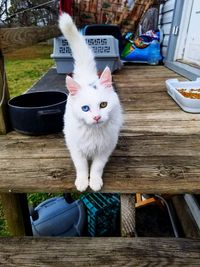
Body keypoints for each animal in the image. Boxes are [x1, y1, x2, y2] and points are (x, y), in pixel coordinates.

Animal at [58, 13, 122, 193]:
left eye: (103, 105)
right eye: (85, 108)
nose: (96, 117)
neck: (94, 133)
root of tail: (86, 76)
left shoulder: (105, 150)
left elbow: (96, 168)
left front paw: (94, 181)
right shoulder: (76, 148)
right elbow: (81, 167)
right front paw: (82, 182)